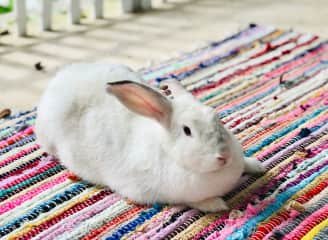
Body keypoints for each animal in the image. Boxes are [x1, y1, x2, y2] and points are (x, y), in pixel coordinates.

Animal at [35, 62, 264, 212]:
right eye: (187, 130)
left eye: (216, 117)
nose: (224, 156)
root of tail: (58, 81)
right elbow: (190, 201)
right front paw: (216, 204)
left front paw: (257, 166)